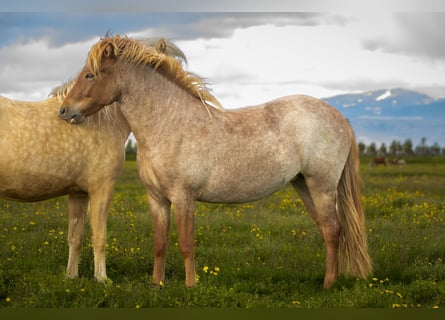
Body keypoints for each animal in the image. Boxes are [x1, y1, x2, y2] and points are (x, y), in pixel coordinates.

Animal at [0, 38, 184, 282]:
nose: (66, 113)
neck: (101, 120)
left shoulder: (78, 193)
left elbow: (75, 237)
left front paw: (71, 276)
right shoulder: (101, 189)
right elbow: (99, 236)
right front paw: (102, 278)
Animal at [59, 34, 372, 288]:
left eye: (90, 75)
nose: (64, 111)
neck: (169, 123)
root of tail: (339, 117)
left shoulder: (184, 197)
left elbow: (186, 243)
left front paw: (190, 285)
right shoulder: (156, 199)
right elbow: (160, 243)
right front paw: (157, 283)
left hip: (322, 186)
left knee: (333, 230)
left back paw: (328, 284)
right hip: (304, 185)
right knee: (328, 229)